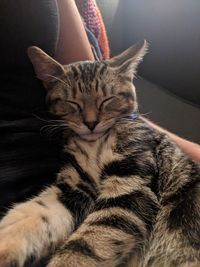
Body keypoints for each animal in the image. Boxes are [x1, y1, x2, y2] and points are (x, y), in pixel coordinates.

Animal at [0, 40, 200, 267]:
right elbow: (38, 212)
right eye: (73, 103)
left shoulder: (131, 185)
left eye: (107, 100)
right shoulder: (75, 186)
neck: (95, 143)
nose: (91, 123)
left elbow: (86, 245)